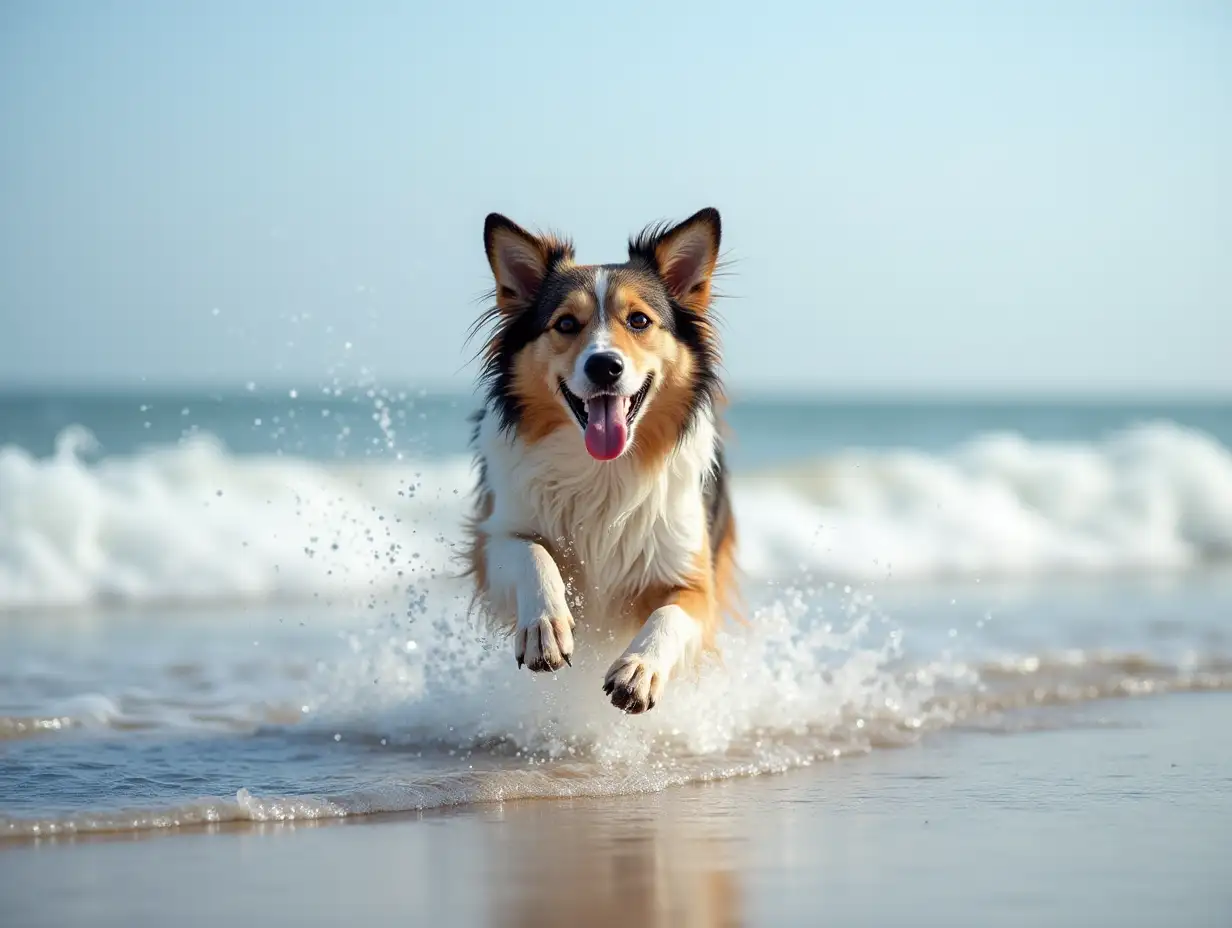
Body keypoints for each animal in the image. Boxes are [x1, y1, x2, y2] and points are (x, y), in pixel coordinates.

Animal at [460, 208, 729, 709]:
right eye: (566, 324)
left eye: (639, 320)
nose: (605, 365)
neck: (604, 471)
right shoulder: (495, 535)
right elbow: (531, 553)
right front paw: (545, 625)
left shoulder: (693, 575)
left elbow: (670, 616)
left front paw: (640, 668)